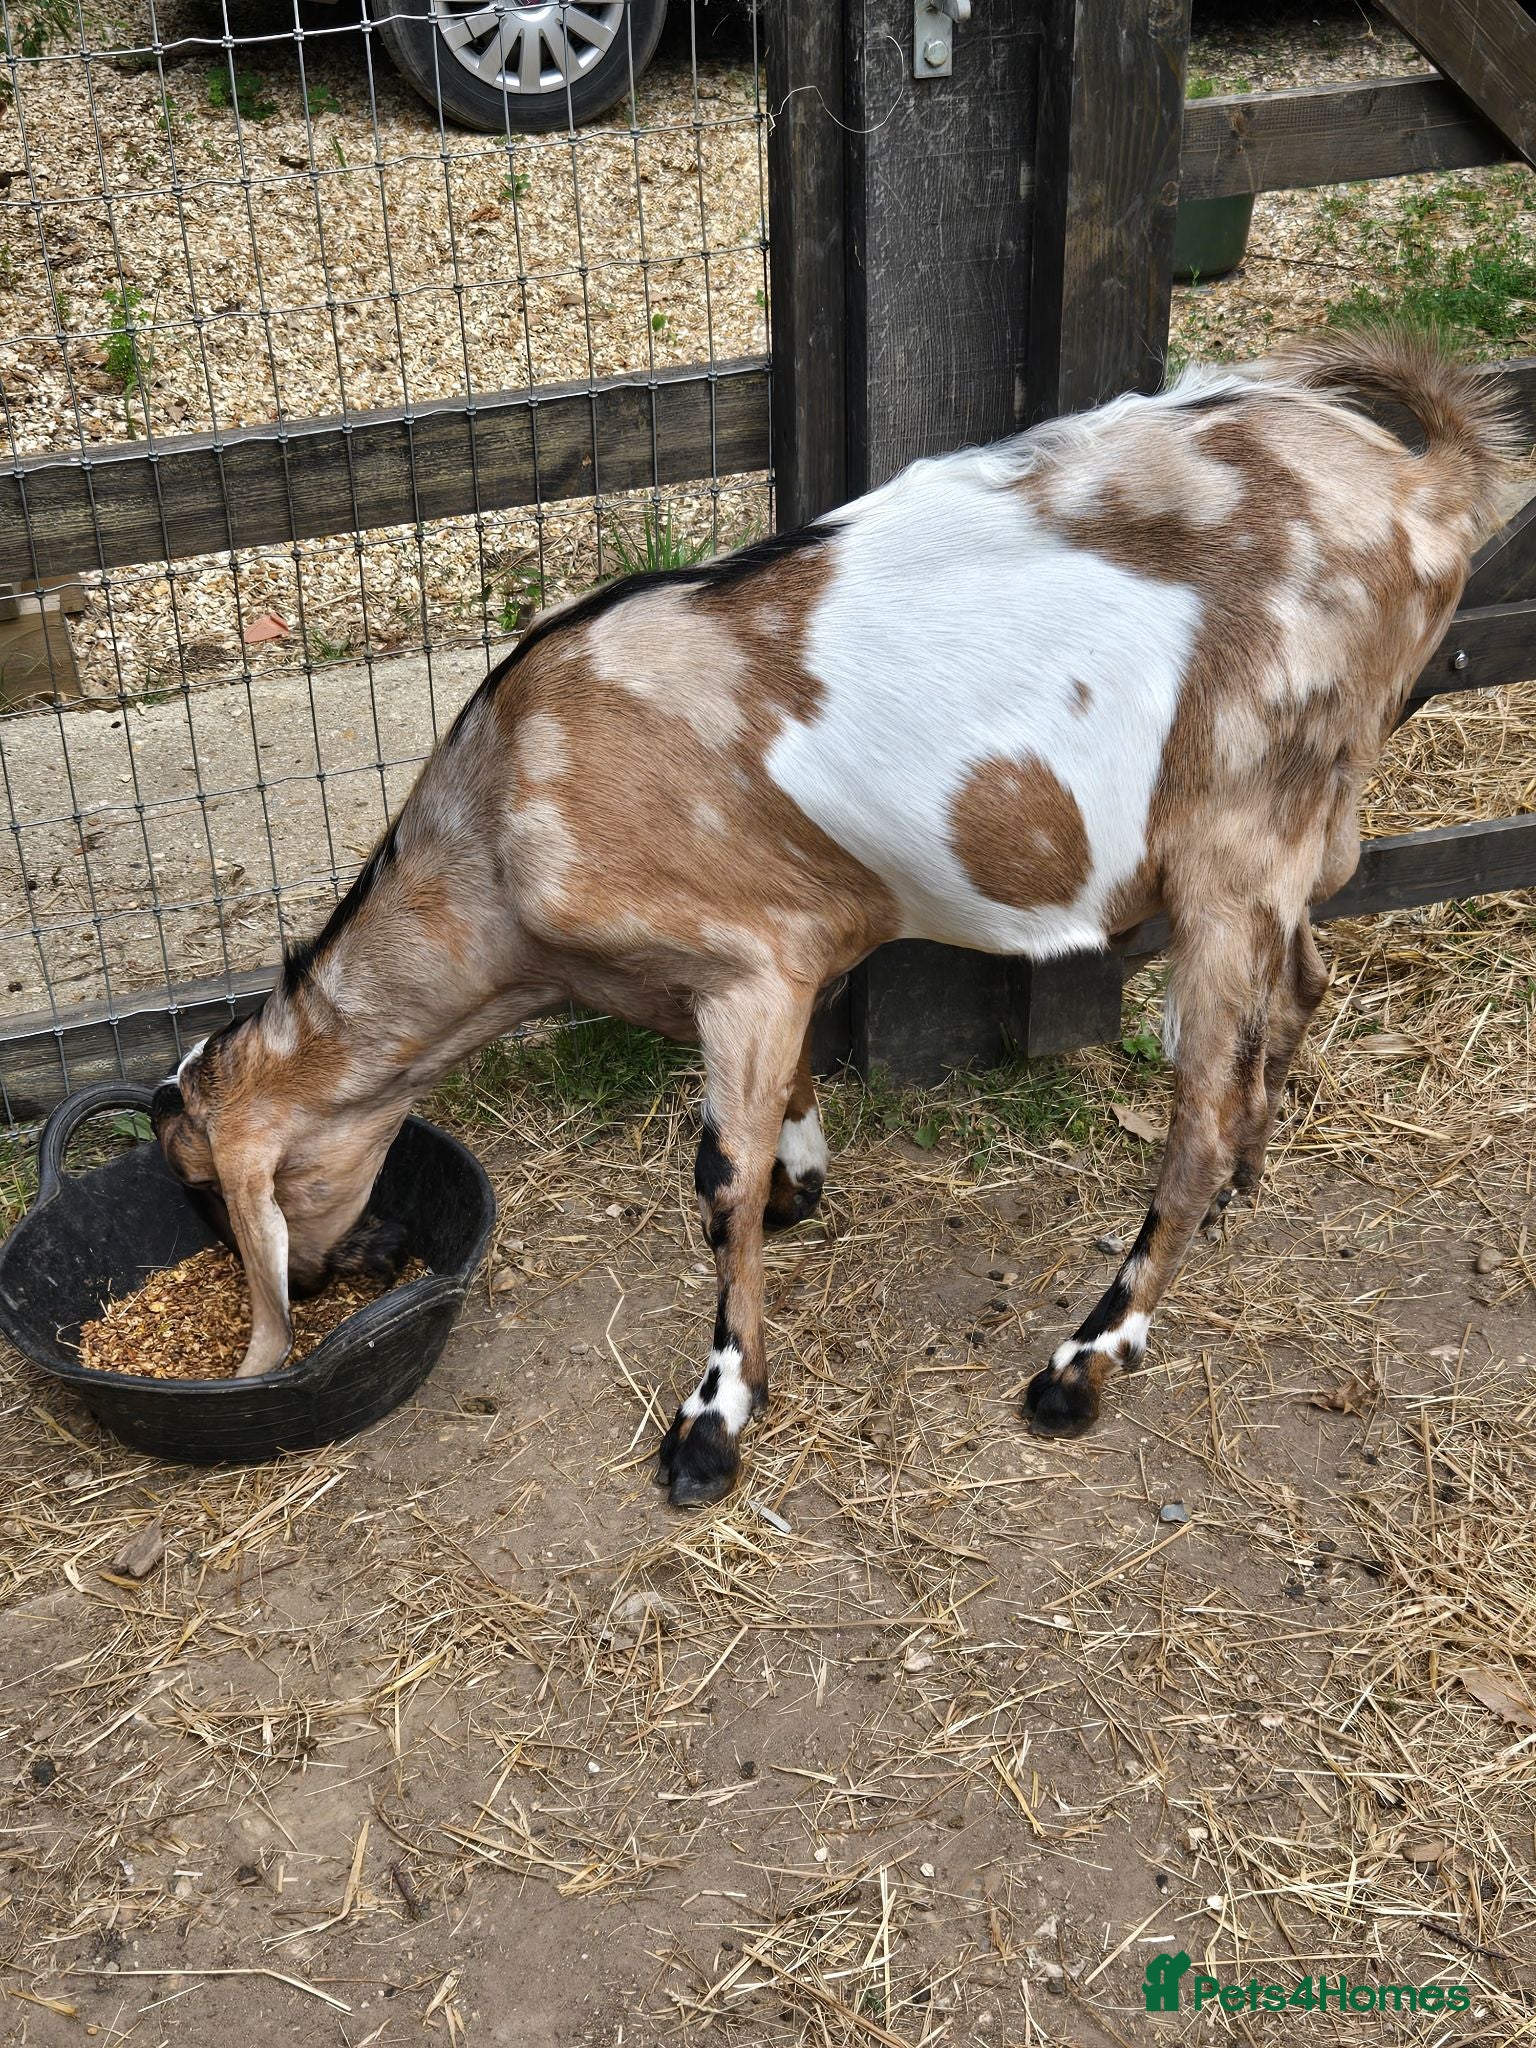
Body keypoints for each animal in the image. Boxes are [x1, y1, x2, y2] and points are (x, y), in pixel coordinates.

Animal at [152, 326, 1520, 1506]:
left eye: (216, 1195)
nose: (340, 1265)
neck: (500, 825)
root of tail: (1428, 481)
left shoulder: (746, 963)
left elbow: (717, 1178)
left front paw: (712, 1422)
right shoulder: (775, 960)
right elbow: (783, 1107)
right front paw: (803, 1187)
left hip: (1235, 836)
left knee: (1196, 1108)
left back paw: (1085, 1358)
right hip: (1304, 825)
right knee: (1304, 984)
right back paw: (1243, 1182)